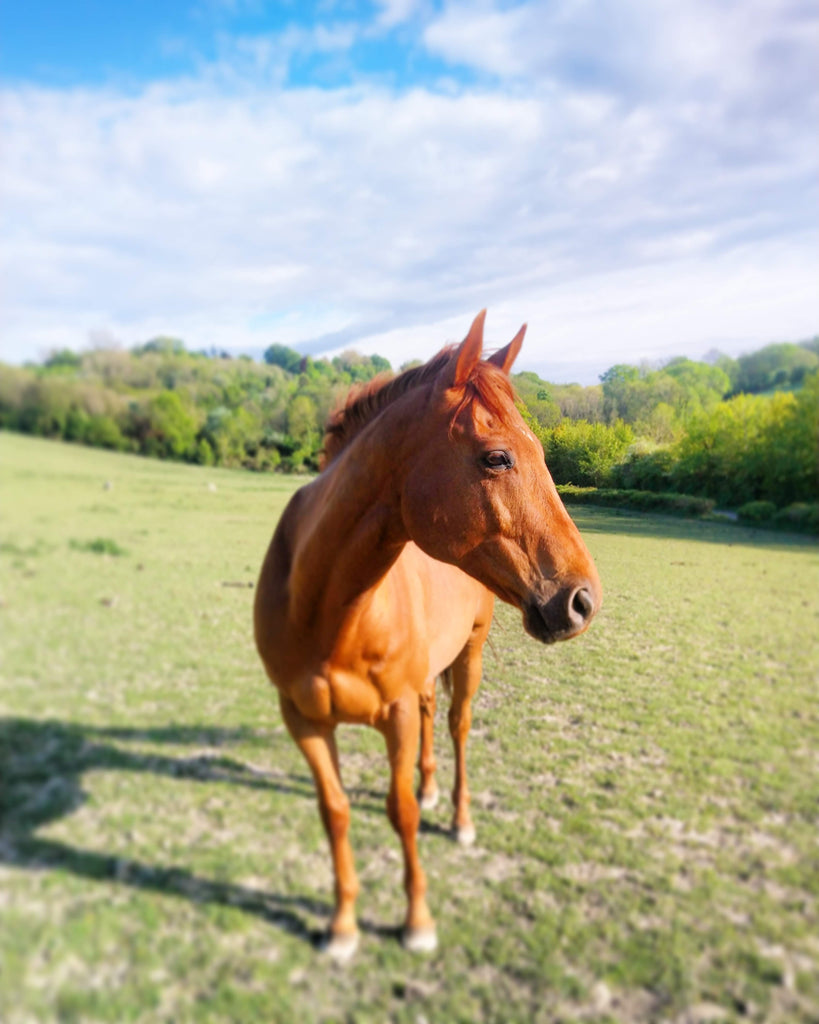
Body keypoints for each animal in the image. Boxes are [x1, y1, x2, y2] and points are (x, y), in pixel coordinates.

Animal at [253, 309, 601, 958]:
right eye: (497, 457)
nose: (582, 600)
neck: (325, 610)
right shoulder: (302, 719)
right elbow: (335, 812)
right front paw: (342, 925)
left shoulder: (392, 715)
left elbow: (402, 812)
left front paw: (416, 921)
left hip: (470, 653)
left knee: (458, 725)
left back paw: (459, 817)